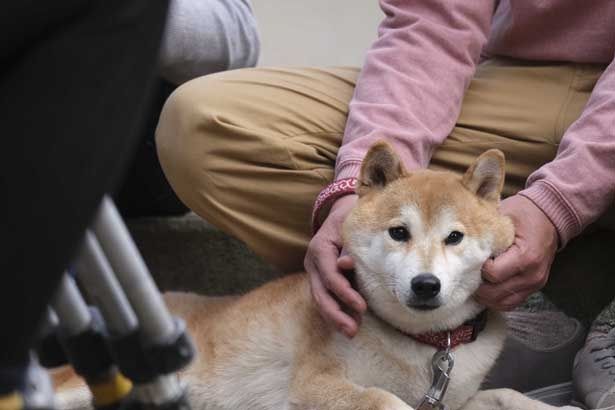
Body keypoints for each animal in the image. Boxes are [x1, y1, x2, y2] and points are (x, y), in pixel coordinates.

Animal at [54, 143, 584, 410]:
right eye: (399, 232)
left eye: (454, 237)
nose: (425, 285)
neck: (423, 348)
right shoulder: (315, 384)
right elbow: (384, 401)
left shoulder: (454, 401)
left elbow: (506, 395)